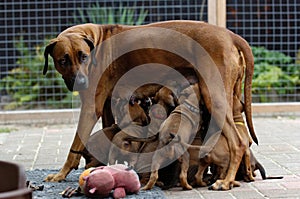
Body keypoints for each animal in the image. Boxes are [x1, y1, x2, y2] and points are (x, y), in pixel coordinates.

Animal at [43, 20, 256, 190]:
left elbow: (75, 145)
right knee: (243, 141)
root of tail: (230, 35)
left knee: (238, 143)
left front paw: (61, 174)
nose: (81, 83)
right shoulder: (107, 109)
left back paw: (225, 181)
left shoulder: (90, 108)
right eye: (63, 60)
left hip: (214, 98)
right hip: (231, 98)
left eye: (84, 56)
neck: (97, 39)